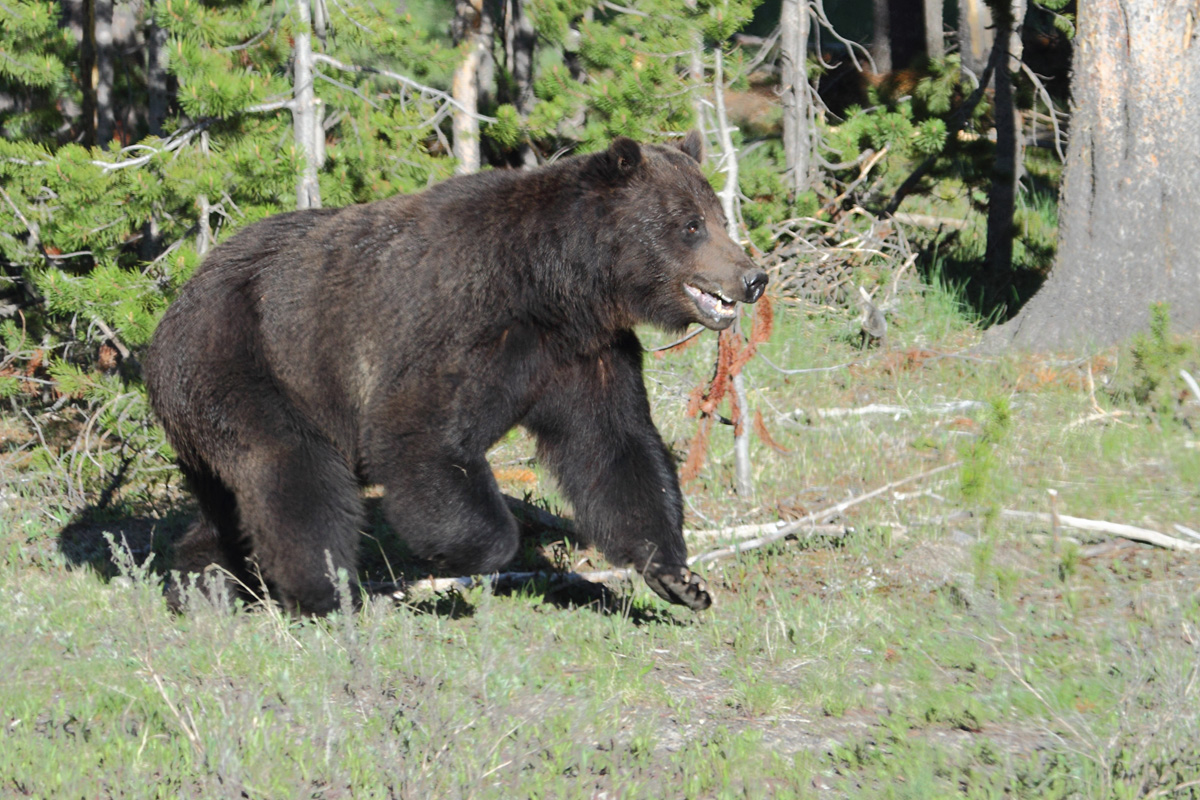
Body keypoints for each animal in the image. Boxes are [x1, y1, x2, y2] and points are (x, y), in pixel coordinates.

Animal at [144, 132, 768, 615]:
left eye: (719, 217)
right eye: (690, 225)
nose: (752, 277)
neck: (557, 286)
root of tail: (175, 303)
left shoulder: (584, 356)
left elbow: (616, 449)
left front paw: (678, 577)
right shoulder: (461, 325)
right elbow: (416, 432)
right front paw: (461, 555)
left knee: (226, 503)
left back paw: (203, 583)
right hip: (243, 358)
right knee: (291, 470)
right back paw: (325, 591)